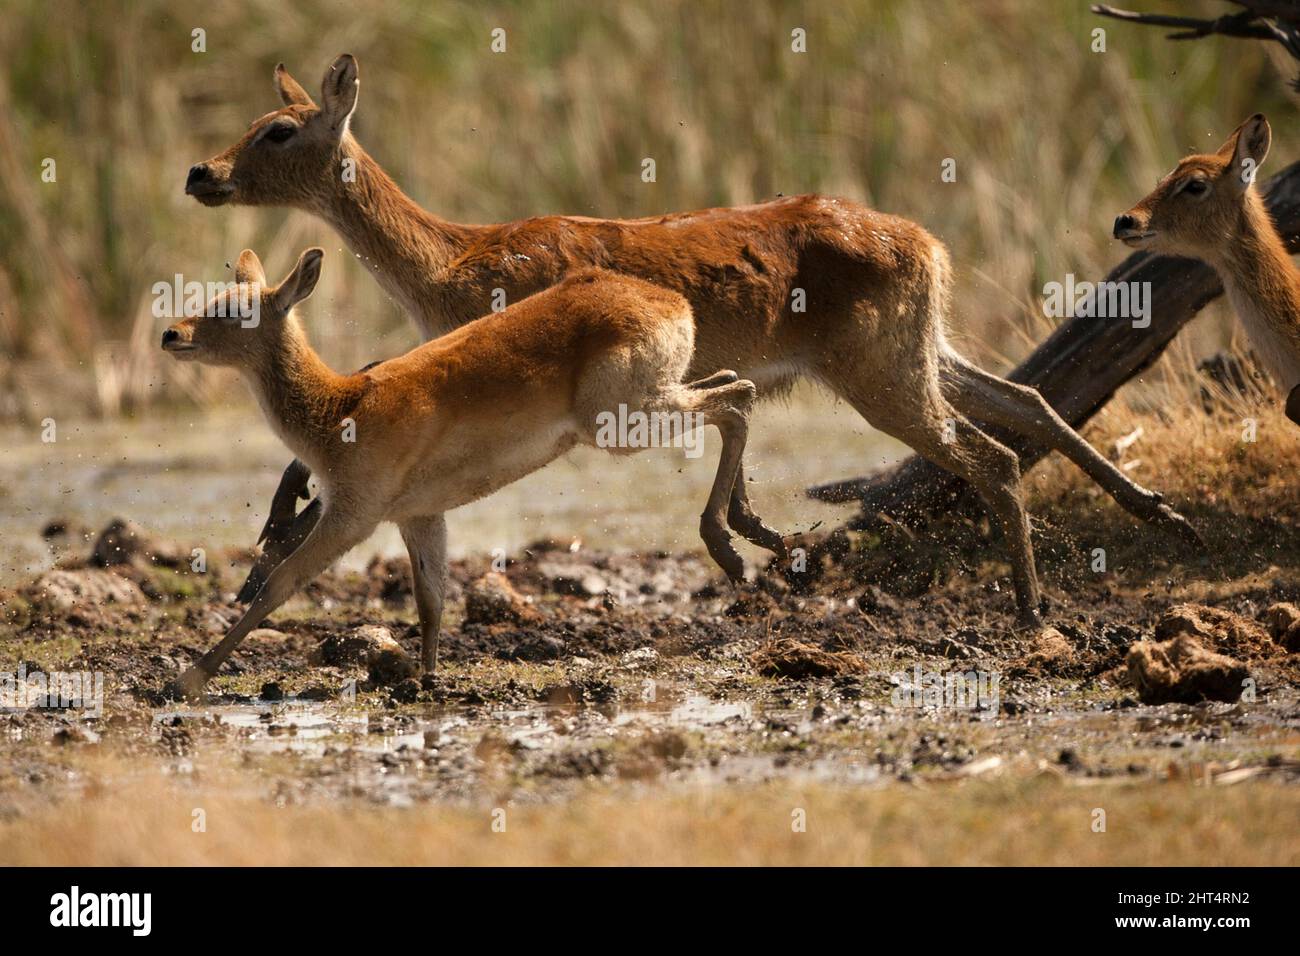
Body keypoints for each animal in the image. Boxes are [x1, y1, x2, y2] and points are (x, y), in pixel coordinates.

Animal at [161, 248, 759, 697]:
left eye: (235, 310)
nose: (171, 334)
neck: (340, 408)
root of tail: (674, 303)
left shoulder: (351, 516)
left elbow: (277, 582)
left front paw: (187, 679)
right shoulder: (419, 515)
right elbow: (431, 599)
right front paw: (425, 680)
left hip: (620, 423)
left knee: (737, 400)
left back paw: (730, 547)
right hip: (648, 404)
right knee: (735, 385)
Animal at [188, 55, 1201, 632]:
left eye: (278, 128)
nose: (202, 172)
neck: (453, 263)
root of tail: (930, 244)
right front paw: (755, 531)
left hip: (878, 373)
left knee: (992, 452)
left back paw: (1032, 608)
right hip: (919, 349)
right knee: (1029, 397)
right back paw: (1164, 518)